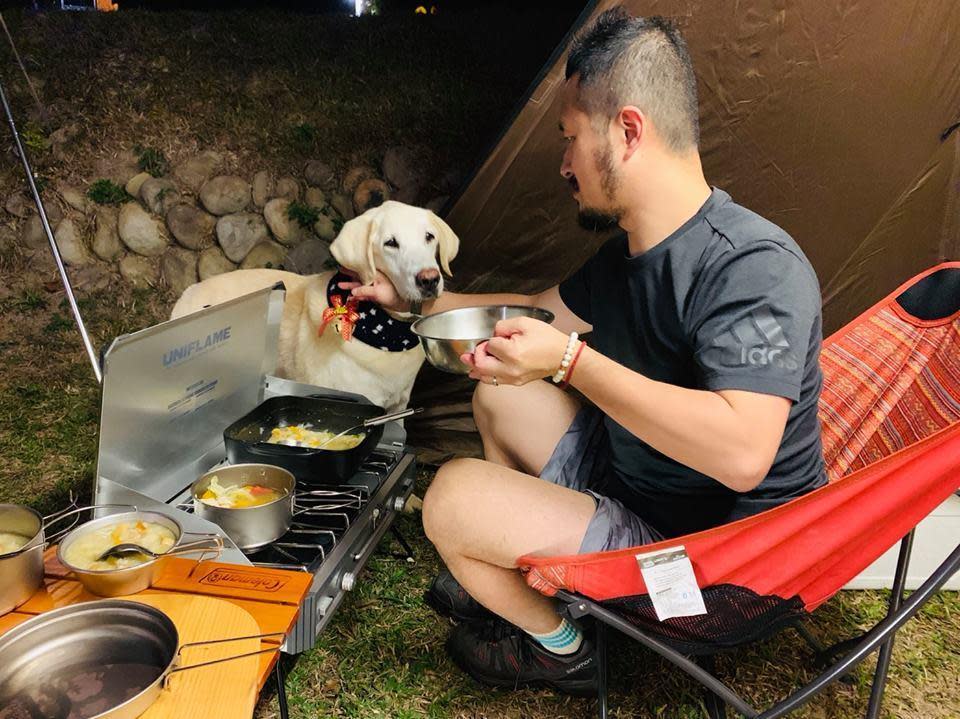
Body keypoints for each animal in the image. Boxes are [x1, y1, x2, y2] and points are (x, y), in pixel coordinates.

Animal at [172, 202, 462, 414]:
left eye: (429, 237)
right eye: (390, 243)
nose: (429, 280)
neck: (382, 330)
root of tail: (188, 293)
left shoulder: (398, 408)